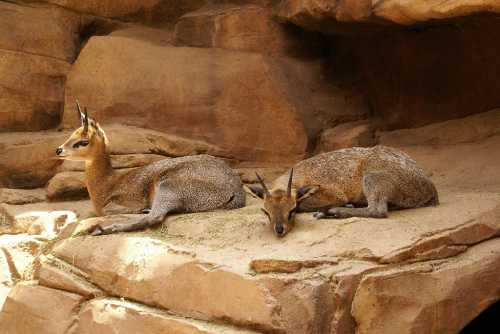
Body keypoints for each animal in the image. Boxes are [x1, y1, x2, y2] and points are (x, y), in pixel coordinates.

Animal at [55, 102, 245, 235]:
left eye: (83, 142)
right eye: (71, 135)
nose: (59, 150)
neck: (106, 183)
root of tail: (235, 191)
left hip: (168, 186)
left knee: (154, 217)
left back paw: (104, 229)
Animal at [245, 146, 438, 237]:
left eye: (291, 210)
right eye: (265, 211)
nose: (279, 230)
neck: (302, 175)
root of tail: (430, 189)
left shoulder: (335, 193)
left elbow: (305, 204)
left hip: (373, 179)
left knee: (377, 210)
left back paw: (333, 212)